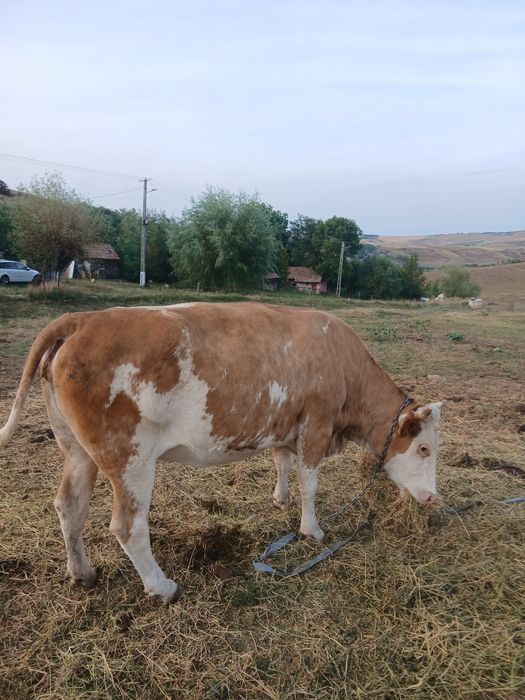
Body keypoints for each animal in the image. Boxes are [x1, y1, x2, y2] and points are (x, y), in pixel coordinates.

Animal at [0, 302, 443, 602]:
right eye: (424, 447)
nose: (433, 498)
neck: (344, 364)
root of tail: (81, 320)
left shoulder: (286, 422)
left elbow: (282, 461)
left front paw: (280, 499)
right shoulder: (317, 422)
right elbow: (310, 482)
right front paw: (312, 529)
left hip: (75, 447)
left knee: (69, 506)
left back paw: (82, 573)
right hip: (129, 457)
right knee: (127, 527)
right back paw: (162, 586)